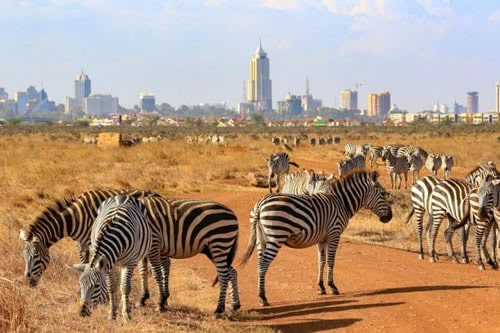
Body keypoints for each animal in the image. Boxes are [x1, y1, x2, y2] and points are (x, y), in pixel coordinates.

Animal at [18, 188, 159, 286]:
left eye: (35, 256)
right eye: (24, 257)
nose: (29, 282)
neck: (75, 218)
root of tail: (155, 194)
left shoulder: (92, 241)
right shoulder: (80, 242)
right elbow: (83, 261)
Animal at [237, 171, 390, 306]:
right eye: (383, 193)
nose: (390, 217)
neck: (342, 203)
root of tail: (261, 203)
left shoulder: (322, 238)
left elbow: (321, 261)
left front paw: (321, 287)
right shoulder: (334, 234)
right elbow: (331, 261)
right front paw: (332, 286)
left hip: (260, 239)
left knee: (259, 264)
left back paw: (260, 295)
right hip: (276, 237)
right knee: (263, 264)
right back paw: (263, 297)